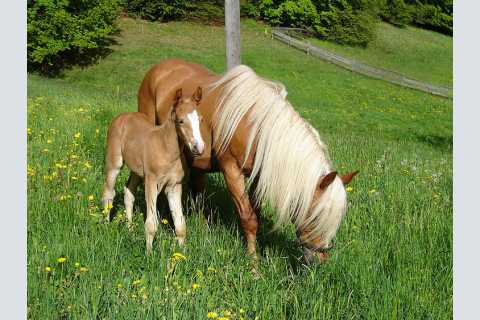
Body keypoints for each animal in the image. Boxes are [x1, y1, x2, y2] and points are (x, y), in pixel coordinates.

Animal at [101, 87, 204, 252]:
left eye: (201, 120)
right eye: (180, 121)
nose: (198, 148)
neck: (167, 149)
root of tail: (123, 116)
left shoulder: (174, 186)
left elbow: (180, 225)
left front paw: (183, 253)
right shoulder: (151, 182)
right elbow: (151, 224)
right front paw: (149, 254)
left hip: (137, 170)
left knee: (128, 192)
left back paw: (130, 229)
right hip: (114, 163)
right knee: (108, 193)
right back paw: (105, 226)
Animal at [137, 59, 358, 262]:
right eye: (315, 216)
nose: (318, 259)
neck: (257, 128)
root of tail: (159, 68)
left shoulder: (258, 176)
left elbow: (256, 215)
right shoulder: (232, 172)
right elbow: (248, 218)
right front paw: (253, 264)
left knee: (197, 191)